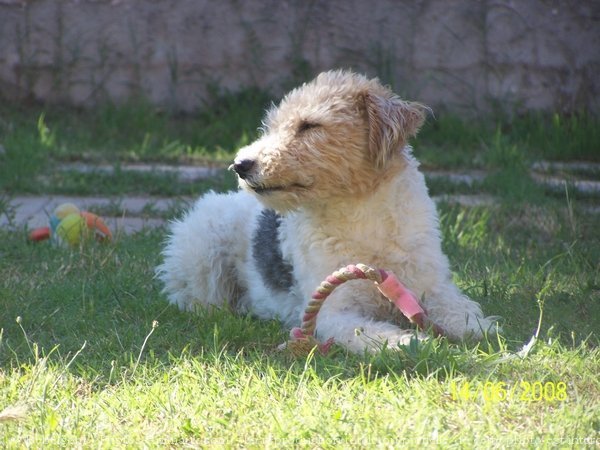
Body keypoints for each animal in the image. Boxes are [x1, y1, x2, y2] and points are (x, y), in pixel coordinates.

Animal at [156, 69, 496, 352]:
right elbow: (371, 333)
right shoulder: (335, 311)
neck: (361, 213)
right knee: (196, 300)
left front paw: (478, 328)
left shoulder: (431, 287)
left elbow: (462, 314)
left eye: (310, 125)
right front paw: (410, 343)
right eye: (272, 125)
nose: (241, 165)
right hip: (205, 253)